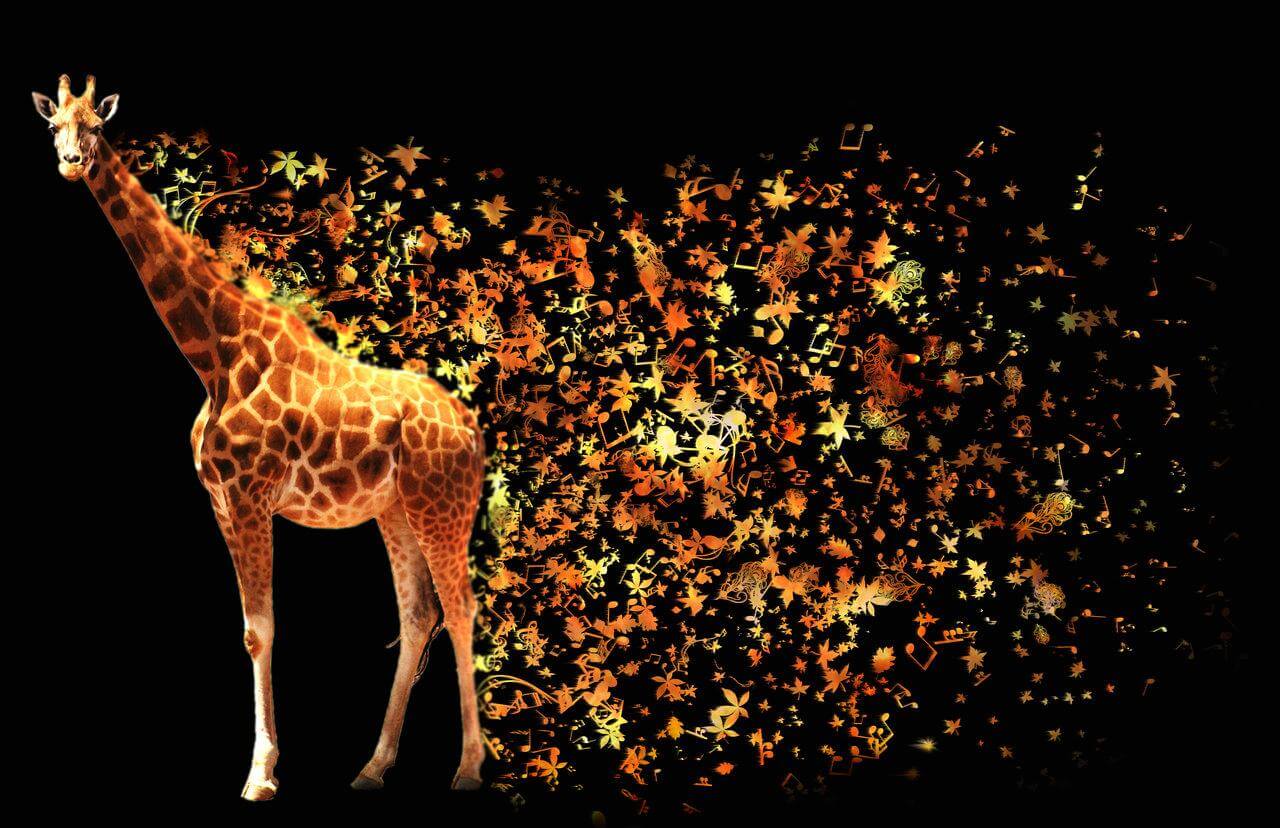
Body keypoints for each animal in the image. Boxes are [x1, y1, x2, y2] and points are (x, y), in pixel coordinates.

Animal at [32, 75, 488, 801]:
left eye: (96, 128)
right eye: (55, 128)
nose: (72, 164)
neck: (214, 356)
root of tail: (471, 429)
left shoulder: (252, 495)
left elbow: (263, 629)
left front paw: (260, 774)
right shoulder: (220, 501)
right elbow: (249, 630)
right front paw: (265, 767)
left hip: (441, 506)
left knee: (462, 606)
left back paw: (467, 770)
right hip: (395, 509)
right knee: (419, 614)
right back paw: (373, 767)